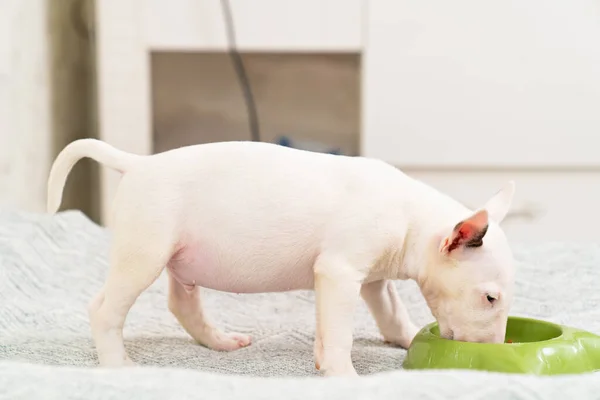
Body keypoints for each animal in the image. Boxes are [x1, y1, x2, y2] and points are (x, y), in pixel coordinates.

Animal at [47, 139, 516, 376]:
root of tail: (138, 164)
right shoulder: (338, 272)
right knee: (105, 309)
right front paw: (344, 376)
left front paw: (404, 336)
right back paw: (117, 366)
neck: (411, 218)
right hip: (143, 253)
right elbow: (340, 333)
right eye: (490, 298)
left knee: (181, 302)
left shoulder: (369, 280)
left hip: (180, 260)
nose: (495, 352)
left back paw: (219, 341)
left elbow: (389, 312)